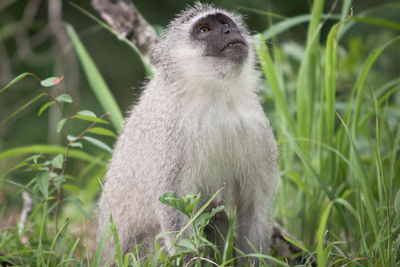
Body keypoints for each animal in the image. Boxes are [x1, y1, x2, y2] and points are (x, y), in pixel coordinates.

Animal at [97, 1, 278, 266]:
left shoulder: (257, 126)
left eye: (225, 23)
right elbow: (174, 212)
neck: (216, 97)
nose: (229, 32)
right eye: (204, 30)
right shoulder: (173, 135)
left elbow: (254, 205)